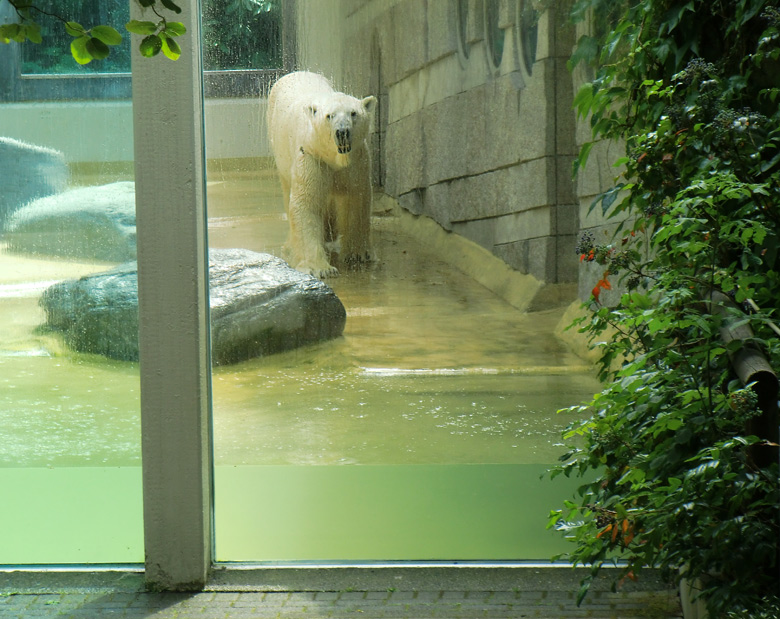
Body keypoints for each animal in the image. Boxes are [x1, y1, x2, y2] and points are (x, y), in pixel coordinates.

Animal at [268, 69, 378, 278]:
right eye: (329, 116)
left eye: (353, 113)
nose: (342, 132)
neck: (334, 157)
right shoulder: (311, 156)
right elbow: (307, 203)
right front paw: (320, 268)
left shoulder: (357, 160)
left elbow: (356, 198)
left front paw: (356, 254)